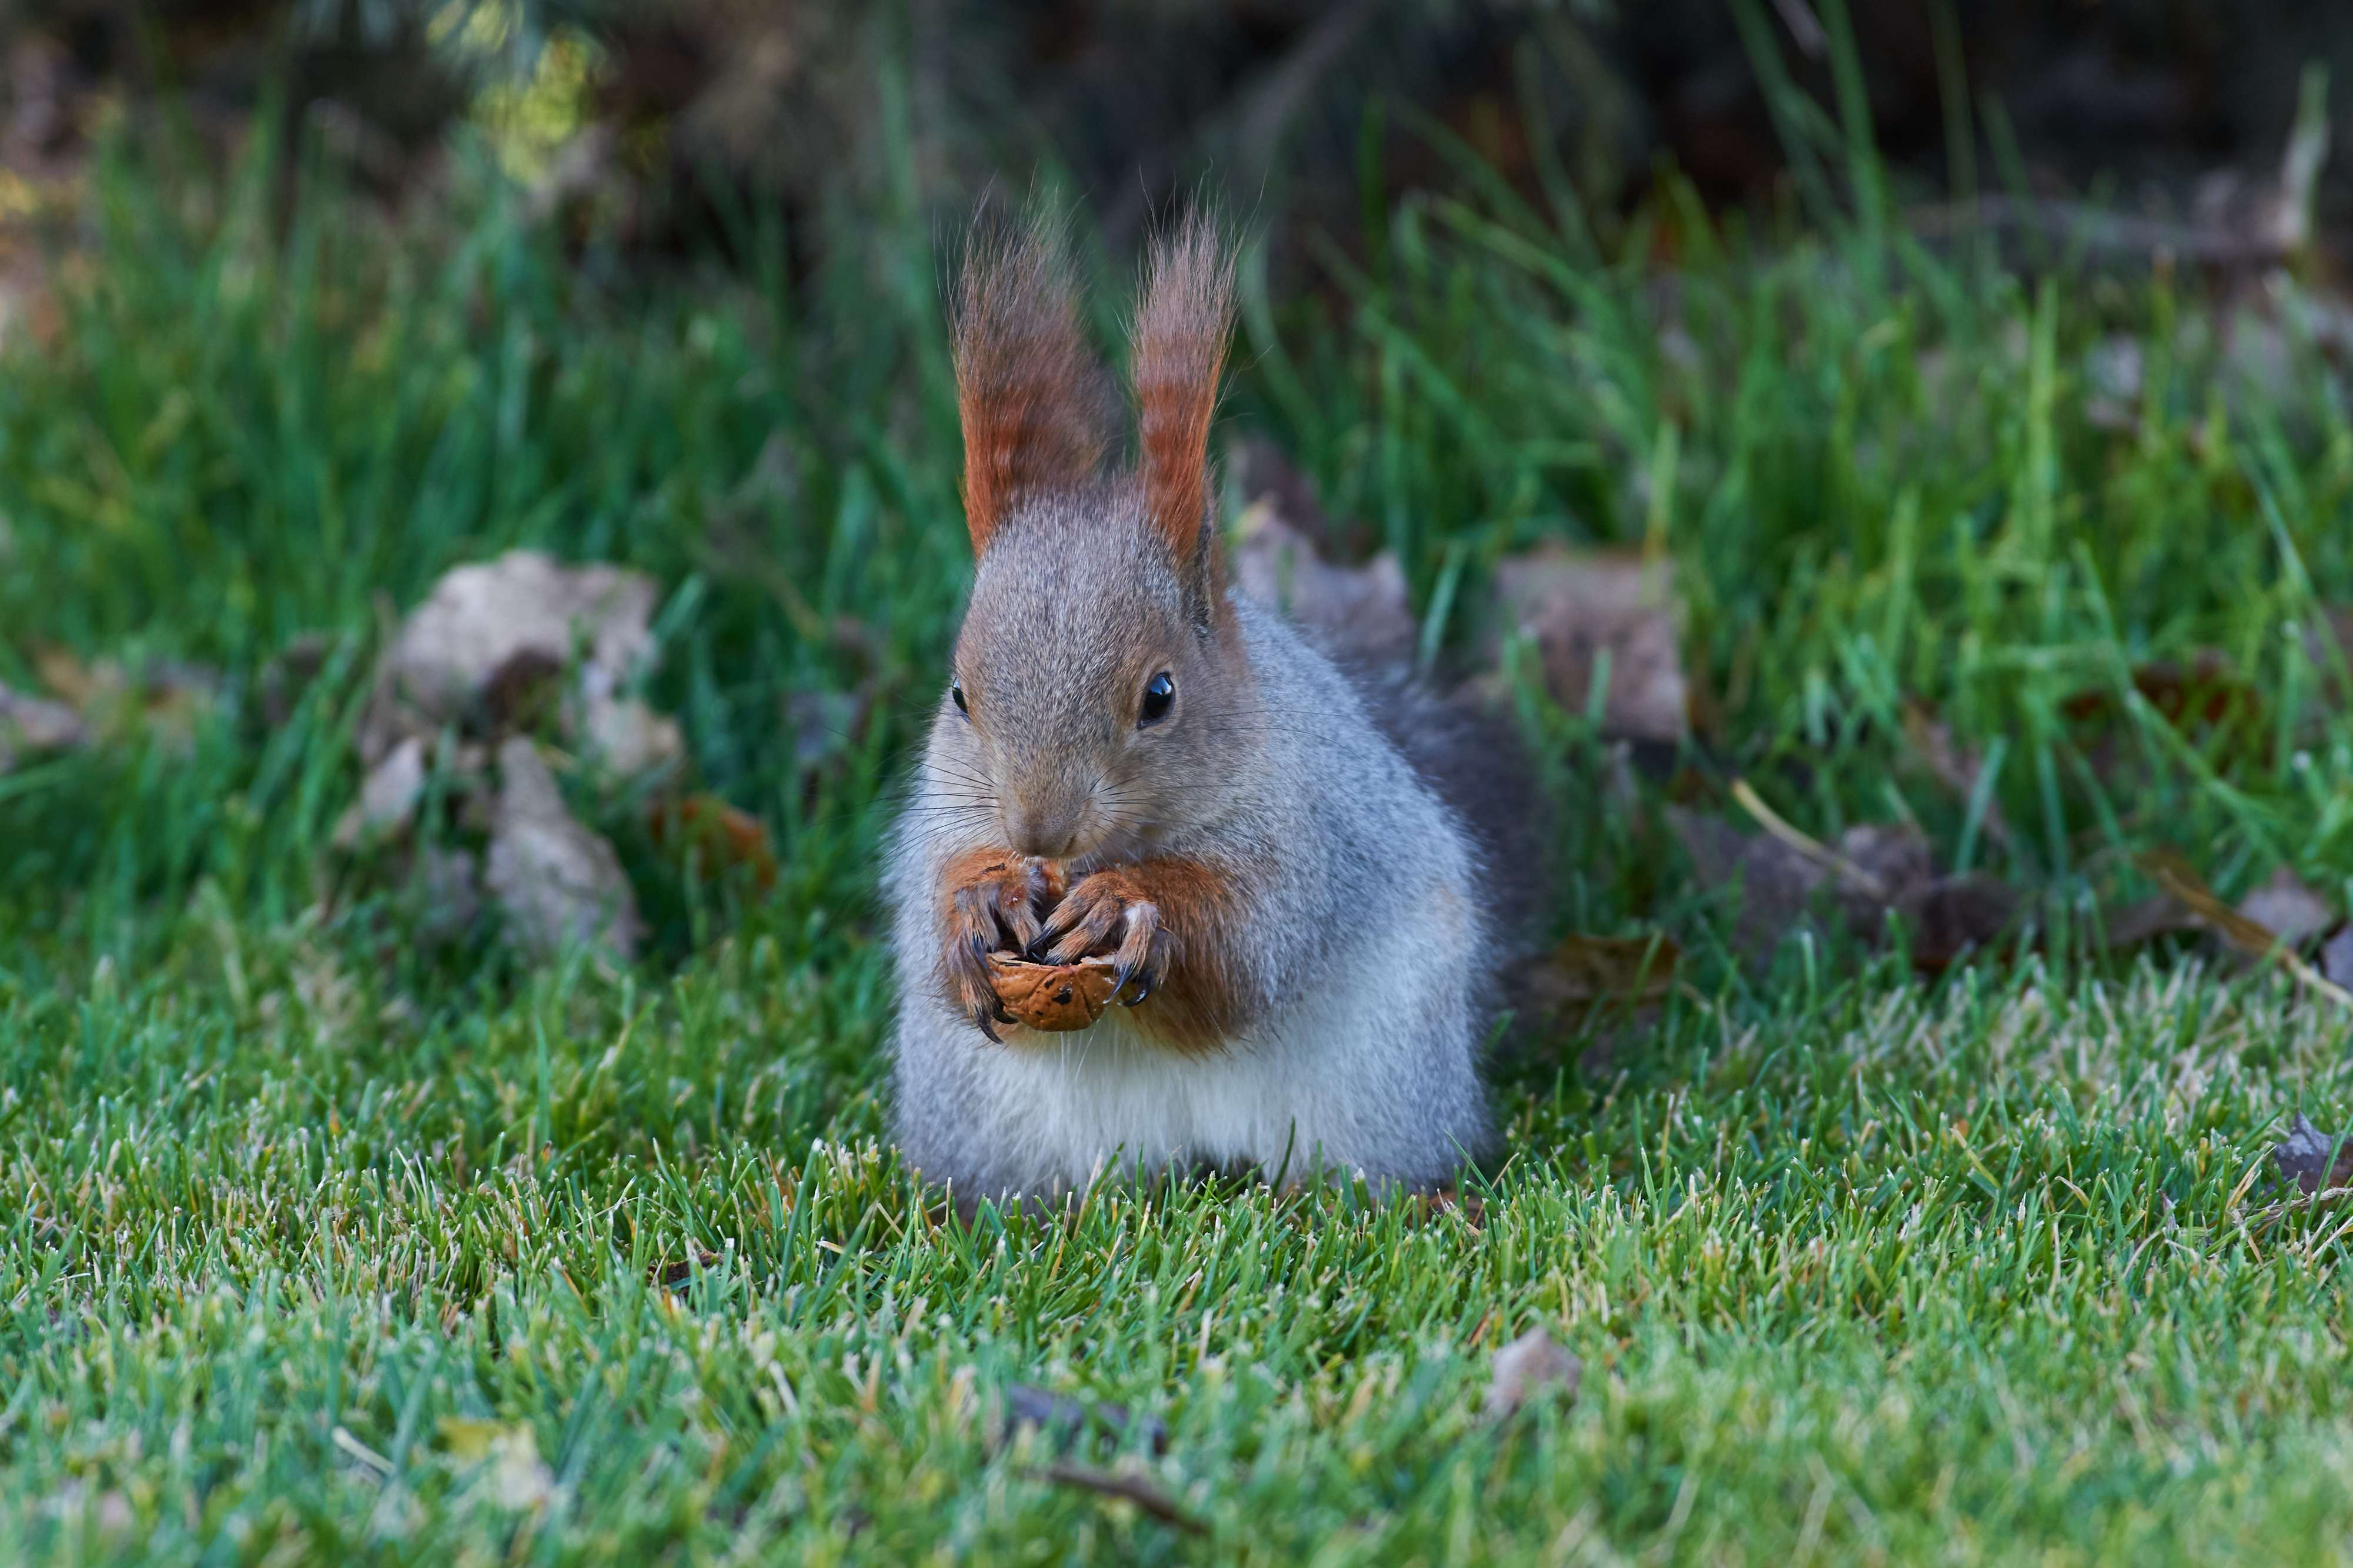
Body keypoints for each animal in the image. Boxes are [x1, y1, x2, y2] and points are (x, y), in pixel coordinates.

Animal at [885, 211, 1544, 1205]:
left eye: (1161, 696)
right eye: (960, 695)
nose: (1039, 830)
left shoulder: (1308, 840)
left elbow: (1248, 948)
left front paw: (1130, 907)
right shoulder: (943, 823)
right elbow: (940, 895)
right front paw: (978, 904)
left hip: (1381, 1081)